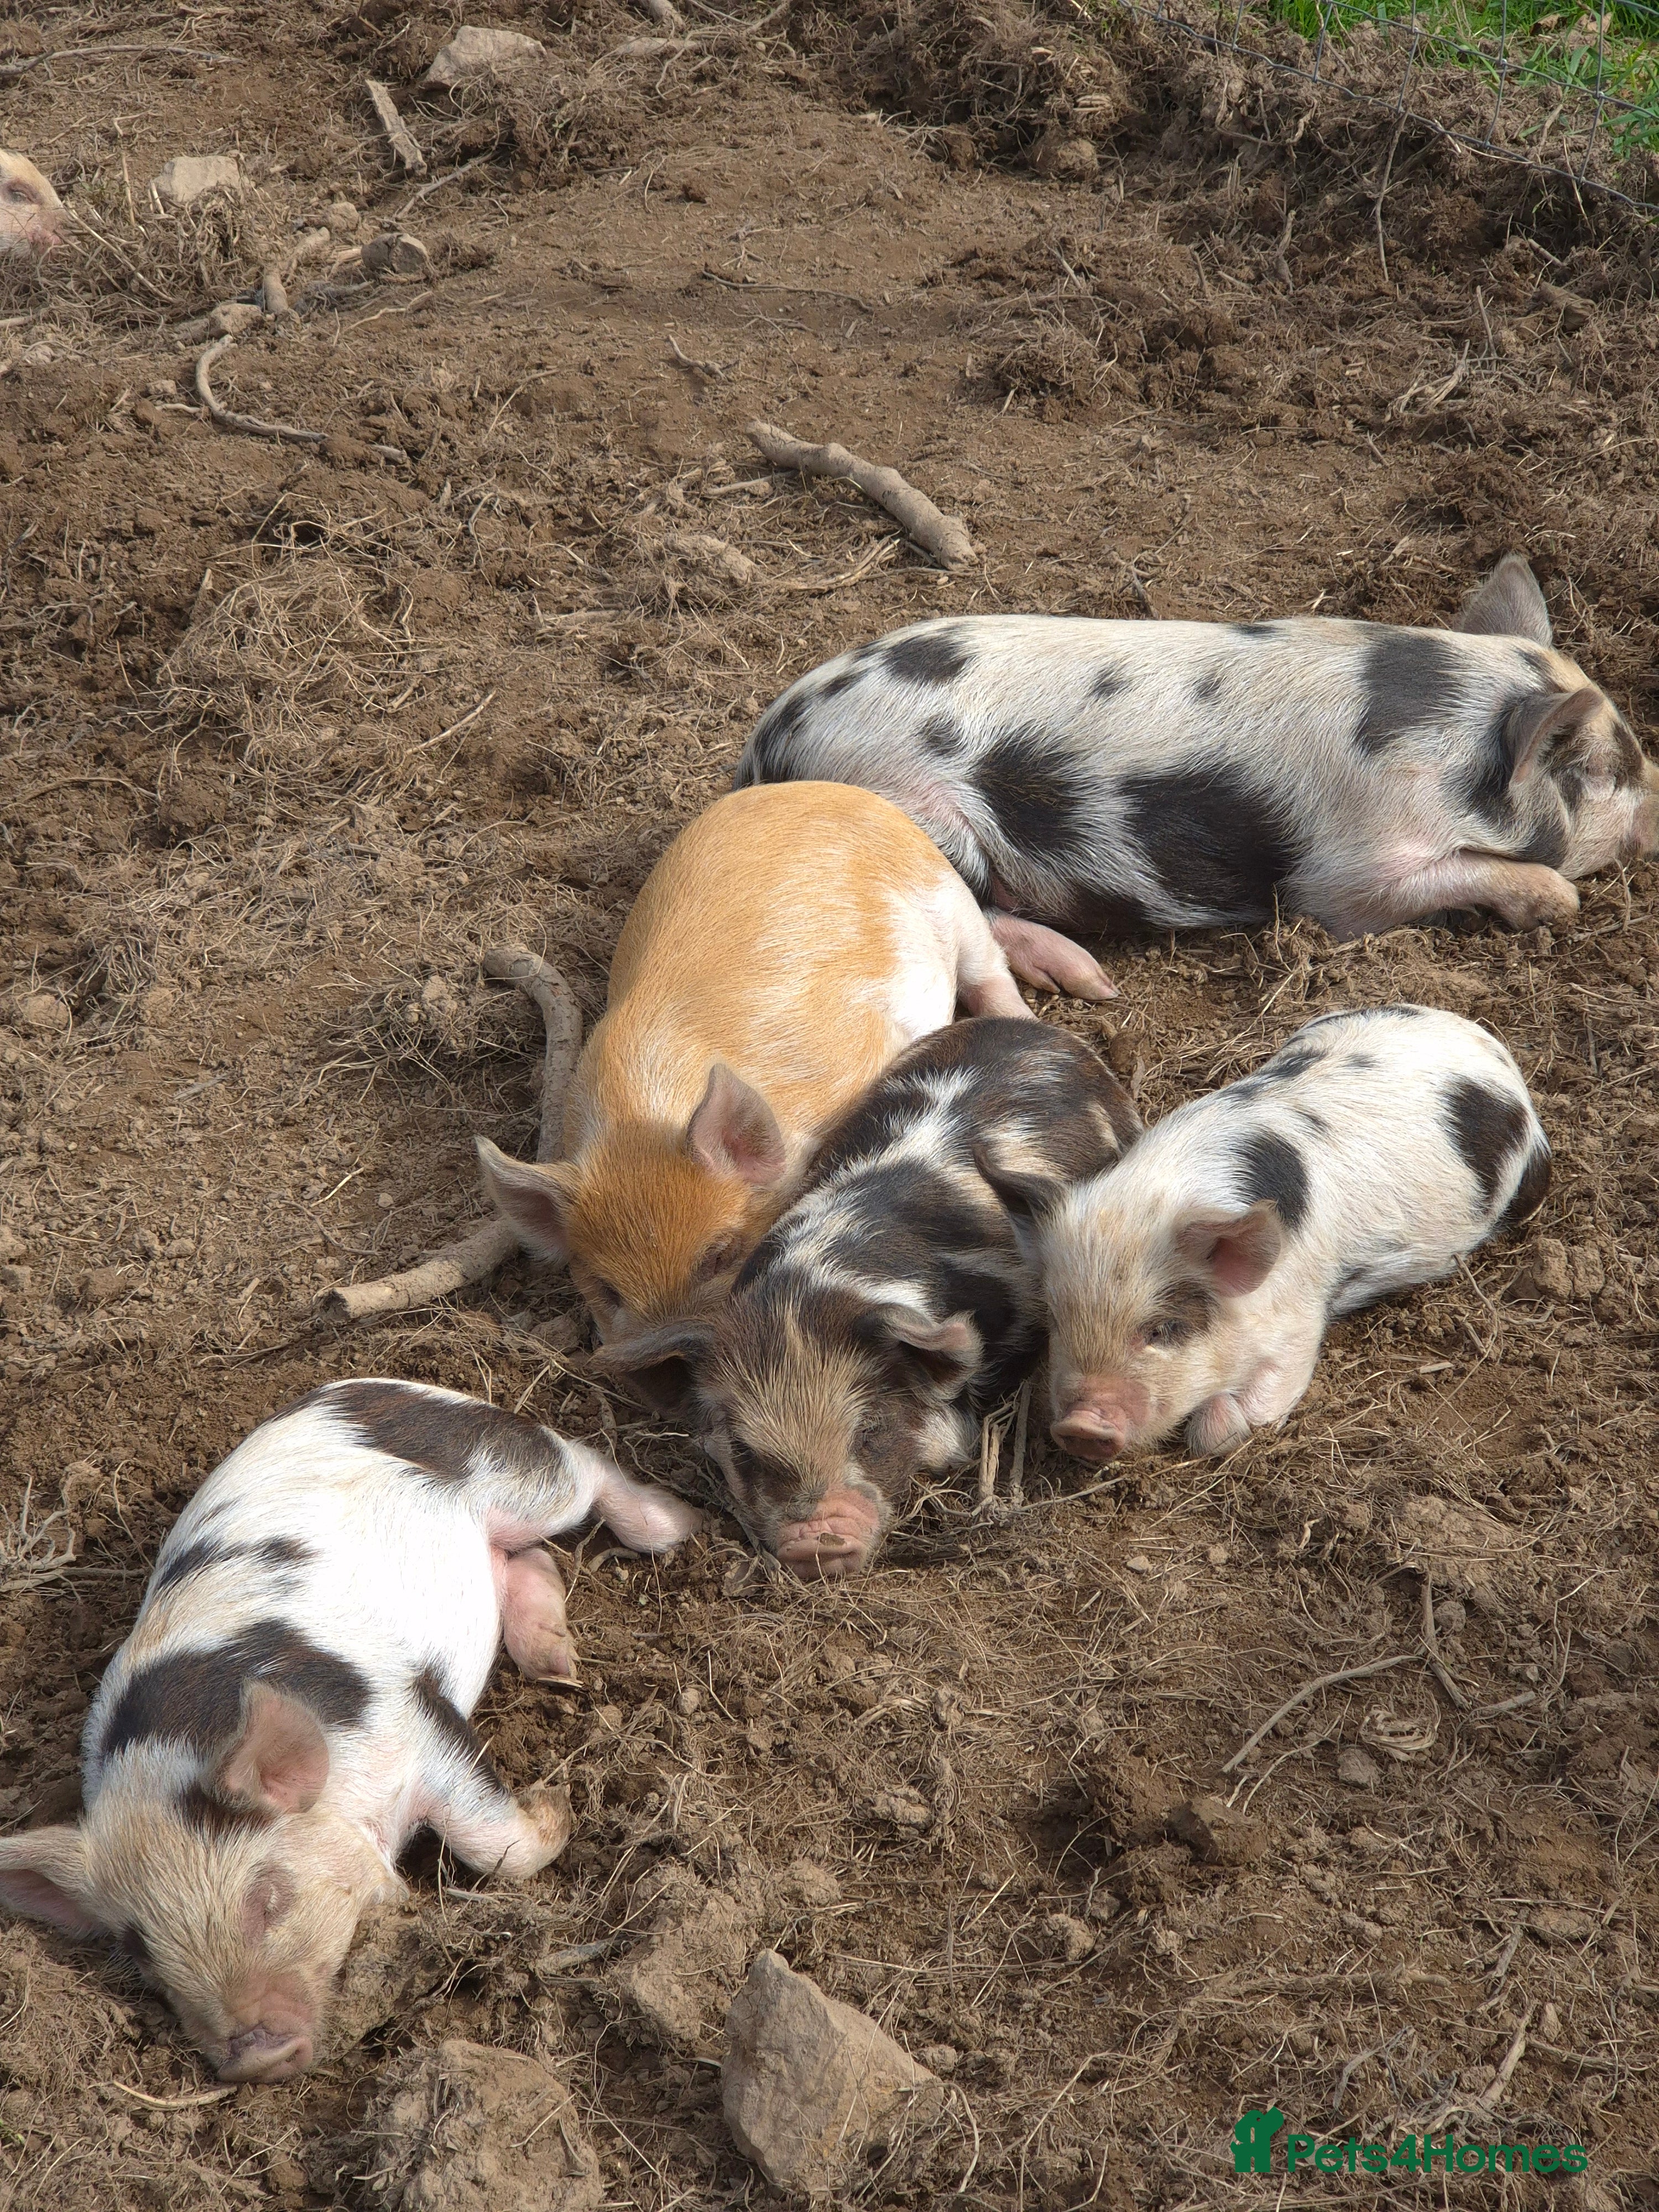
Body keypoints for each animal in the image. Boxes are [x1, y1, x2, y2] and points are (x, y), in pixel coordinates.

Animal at [0, 1378, 700, 2082]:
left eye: (267, 1899)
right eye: (141, 1952)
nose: (259, 2056)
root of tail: (362, 1386)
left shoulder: (413, 1716)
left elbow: (495, 1843)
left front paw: (558, 1810)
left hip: (516, 1474)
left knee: (581, 1465)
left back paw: (674, 1524)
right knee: (520, 1561)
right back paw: (557, 1665)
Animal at [476, 781, 1110, 1356]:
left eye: (720, 1255)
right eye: (607, 1289)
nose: (655, 1352)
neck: (644, 1113)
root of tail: (832, 789)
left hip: (948, 898)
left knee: (989, 964)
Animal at [732, 556, 1658, 960]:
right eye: (1610, 770)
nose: (1658, 811)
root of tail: (768, 742)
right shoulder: (1348, 873)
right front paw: (1556, 901)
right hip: (919, 814)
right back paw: (1080, 973)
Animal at [1024, 1005, 1550, 1462]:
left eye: (1164, 1328)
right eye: (1055, 1319)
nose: (1081, 1426)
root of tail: (1483, 1040)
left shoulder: (1300, 1314)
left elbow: (1256, 1405)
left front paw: (1223, 1425)